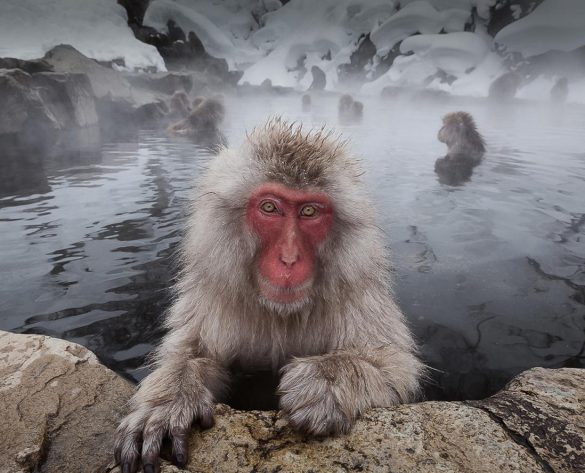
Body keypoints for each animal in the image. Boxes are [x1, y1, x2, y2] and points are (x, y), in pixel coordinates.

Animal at [114, 119, 424, 472]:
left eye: (309, 211)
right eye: (269, 207)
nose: (288, 259)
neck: (280, 313)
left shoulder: (358, 296)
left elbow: (394, 367)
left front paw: (324, 381)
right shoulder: (213, 298)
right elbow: (195, 355)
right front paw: (168, 401)